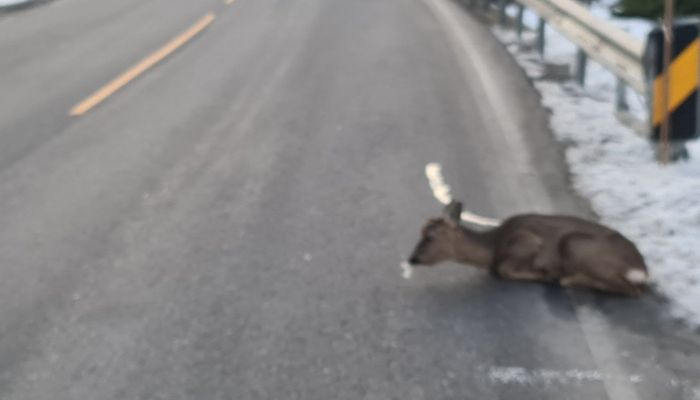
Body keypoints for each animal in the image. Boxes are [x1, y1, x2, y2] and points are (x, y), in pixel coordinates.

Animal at [404, 200, 652, 296]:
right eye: (421, 232)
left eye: (430, 236)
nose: (412, 258)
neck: (493, 247)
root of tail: (641, 267)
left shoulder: (528, 241)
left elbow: (503, 269)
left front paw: (543, 273)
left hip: (574, 243)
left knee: (633, 290)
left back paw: (566, 278)